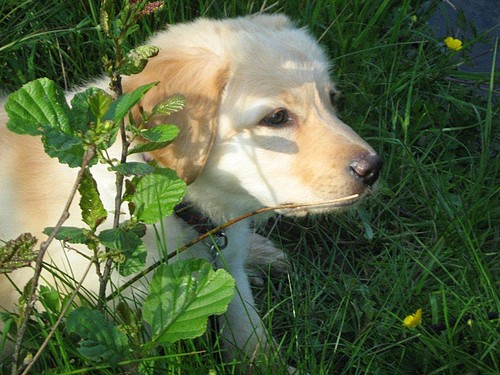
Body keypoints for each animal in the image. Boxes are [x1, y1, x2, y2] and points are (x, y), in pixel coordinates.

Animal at [0, 13, 382, 374]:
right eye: (276, 117)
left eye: (333, 101)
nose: (373, 169)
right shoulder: (117, 315)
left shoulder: (227, 270)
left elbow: (248, 329)